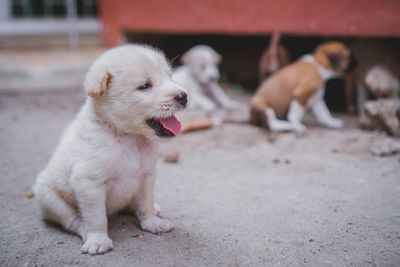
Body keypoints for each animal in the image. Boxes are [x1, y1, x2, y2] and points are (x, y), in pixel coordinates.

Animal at [33, 45, 188, 256]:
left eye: (169, 76)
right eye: (145, 86)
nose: (184, 96)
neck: (128, 136)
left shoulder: (147, 175)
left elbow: (146, 202)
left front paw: (152, 222)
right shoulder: (89, 183)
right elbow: (96, 217)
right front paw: (98, 240)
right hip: (48, 198)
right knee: (73, 220)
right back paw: (85, 230)